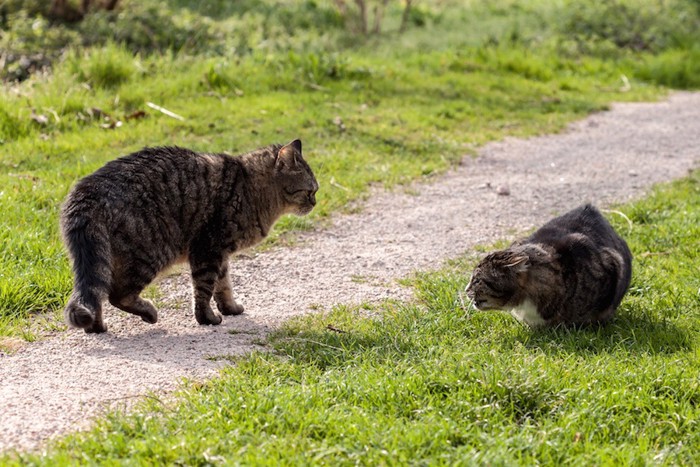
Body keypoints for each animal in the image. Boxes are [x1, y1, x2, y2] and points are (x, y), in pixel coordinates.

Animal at [60, 139, 318, 332]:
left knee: (96, 293)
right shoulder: (208, 249)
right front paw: (207, 319)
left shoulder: (220, 254)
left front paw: (230, 308)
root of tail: (87, 191)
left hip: (102, 258)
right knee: (117, 294)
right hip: (151, 251)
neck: (250, 188)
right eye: (310, 191)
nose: (315, 203)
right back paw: (149, 313)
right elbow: (204, 289)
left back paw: (96, 327)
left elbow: (223, 285)